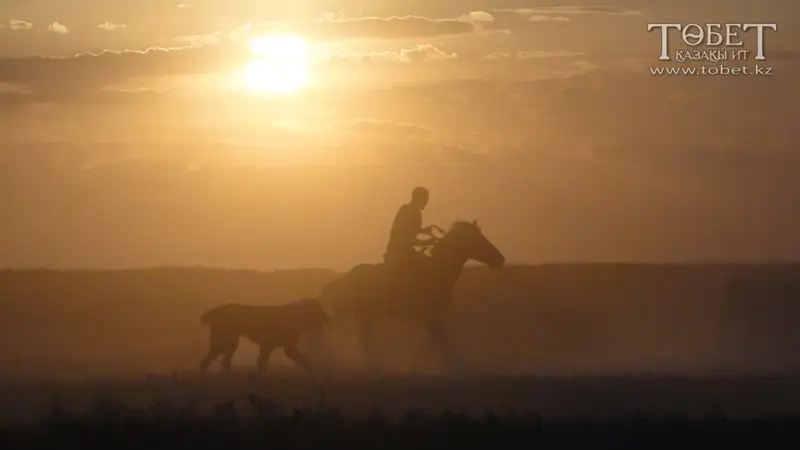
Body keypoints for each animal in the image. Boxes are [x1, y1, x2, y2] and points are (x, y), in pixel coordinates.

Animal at [198, 298, 330, 376]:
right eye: (320, 309)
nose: (328, 318)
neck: (299, 315)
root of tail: (217, 310)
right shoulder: (274, 346)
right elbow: (262, 362)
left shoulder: (280, 348)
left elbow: (306, 361)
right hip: (225, 343)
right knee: (212, 361)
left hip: (229, 344)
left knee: (219, 362)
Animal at [316, 220, 504, 370]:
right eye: (477, 239)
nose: (500, 259)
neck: (437, 270)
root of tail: (339, 280)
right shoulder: (430, 316)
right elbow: (445, 345)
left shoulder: (431, 318)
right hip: (346, 315)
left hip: (364, 317)